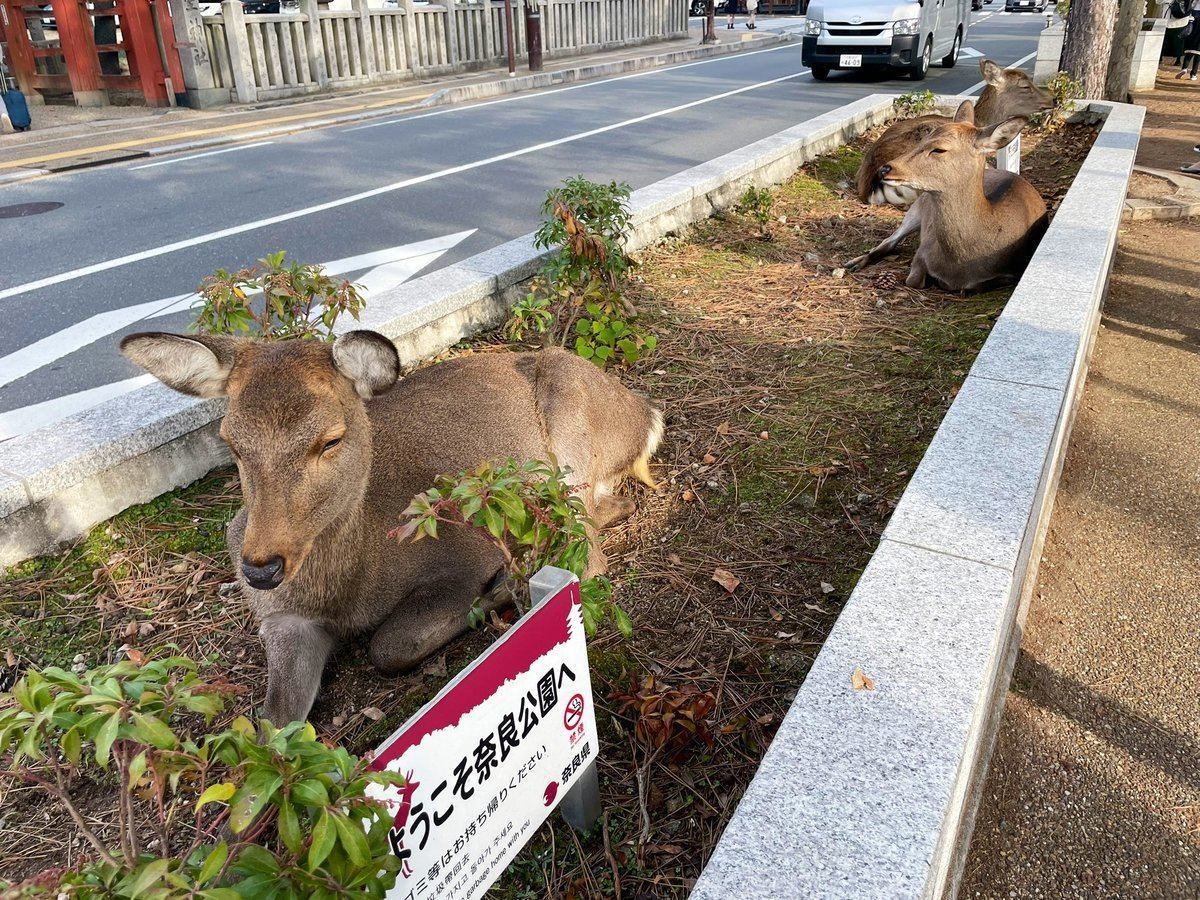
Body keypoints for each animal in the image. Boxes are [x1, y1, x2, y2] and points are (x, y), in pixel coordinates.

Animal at [121, 331, 667, 724]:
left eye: (331, 439)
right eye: (231, 442)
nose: (259, 569)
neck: (350, 590)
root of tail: (647, 414)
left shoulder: (464, 552)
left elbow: (389, 646)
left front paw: (491, 594)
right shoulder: (280, 618)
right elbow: (272, 725)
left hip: (569, 432)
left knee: (591, 553)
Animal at [844, 102, 1051, 292]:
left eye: (939, 149)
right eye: (922, 139)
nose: (884, 169)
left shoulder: (1012, 271)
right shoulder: (923, 249)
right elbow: (914, 280)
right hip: (916, 208)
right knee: (888, 241)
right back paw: (852, 263)